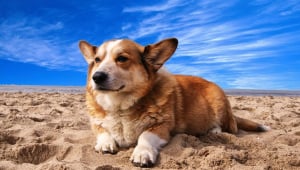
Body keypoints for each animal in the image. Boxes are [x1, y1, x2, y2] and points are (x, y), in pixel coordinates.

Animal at [78, 37, 270, 167]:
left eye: (122, 59)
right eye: (97, 60)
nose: (97, 77)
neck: (120, 105)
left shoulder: (161, 128)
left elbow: (144, 136)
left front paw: (142, 153)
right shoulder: (96, 123)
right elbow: (103, 131)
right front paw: (105, 143)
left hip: (219, 103)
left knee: (227, 126)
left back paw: (214, 131)